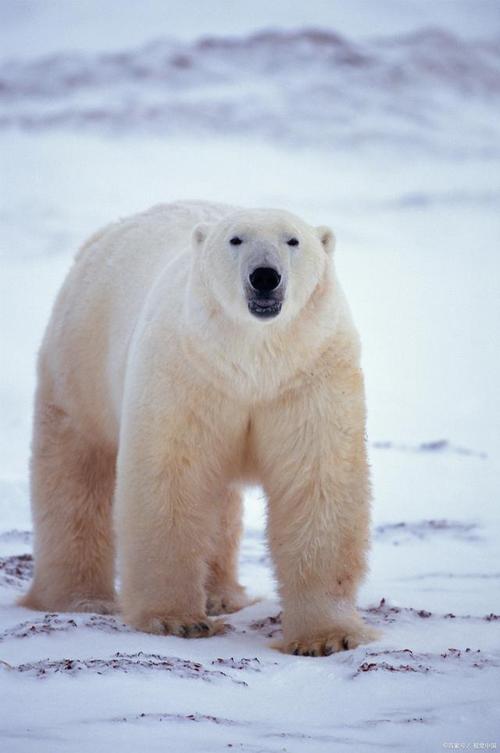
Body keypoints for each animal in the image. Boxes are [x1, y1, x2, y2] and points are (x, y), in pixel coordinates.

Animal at [21, 200, 376, 652]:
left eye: (293, 240)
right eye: (236, 239)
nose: (265, 276)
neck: (252, 359)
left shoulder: (307, 376)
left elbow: (317, 483)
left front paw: (326, 637)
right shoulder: (186, 372)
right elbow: (172, 480)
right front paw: (176, 620)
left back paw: (220, 594)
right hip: (81, 361)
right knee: (76, 476)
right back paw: (79, 598)